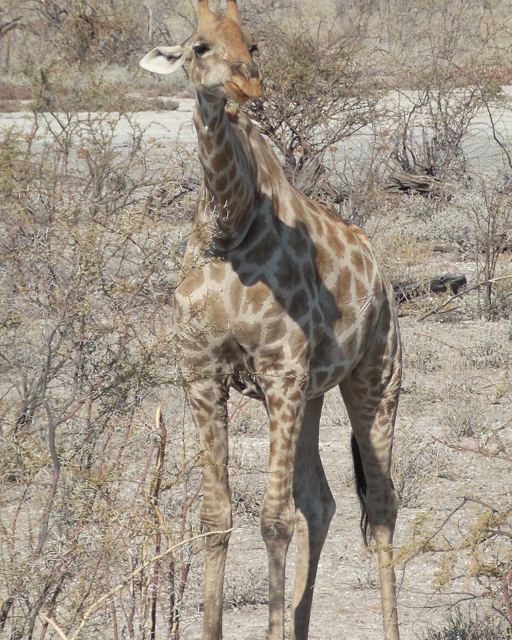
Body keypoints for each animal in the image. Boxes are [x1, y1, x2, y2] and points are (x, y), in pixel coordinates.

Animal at [140, 2, 401, 639]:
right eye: (200, 46)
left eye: (253, 44)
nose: (247, 84)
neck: (229, 227)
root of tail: (383, 278)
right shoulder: (202, 374)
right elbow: (217, 516)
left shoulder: (280, 372)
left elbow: (273, 520)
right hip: (314, 394)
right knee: (321, 500)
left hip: (376, 378)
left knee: (382, 506)